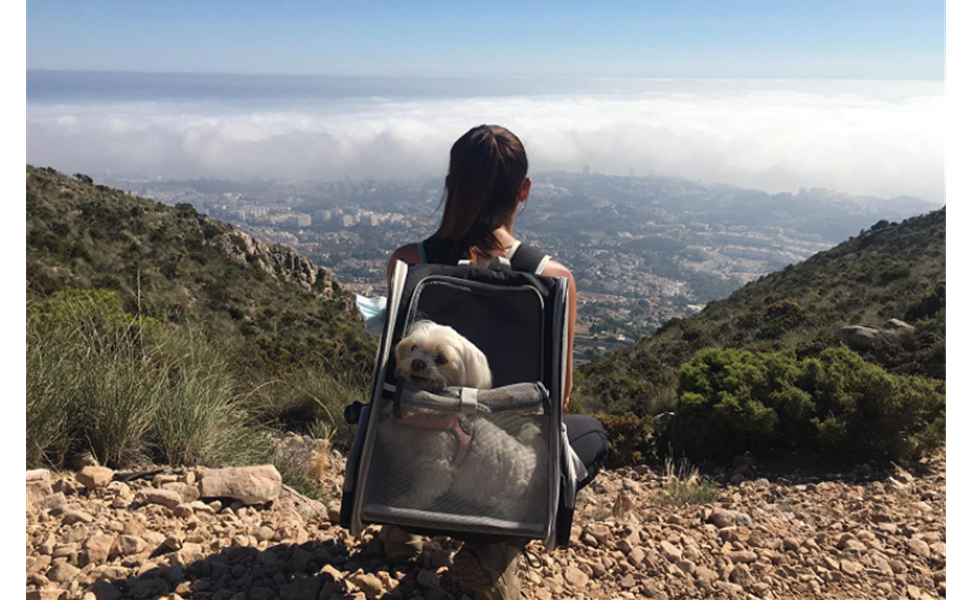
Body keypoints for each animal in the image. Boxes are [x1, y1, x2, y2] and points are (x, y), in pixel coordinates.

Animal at [378, 322, 544, 516]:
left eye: (441, 359)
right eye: (413, 347)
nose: (417, 362)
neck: (424, 412)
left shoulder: (436, 468)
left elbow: (422, 493)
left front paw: (403, 504)